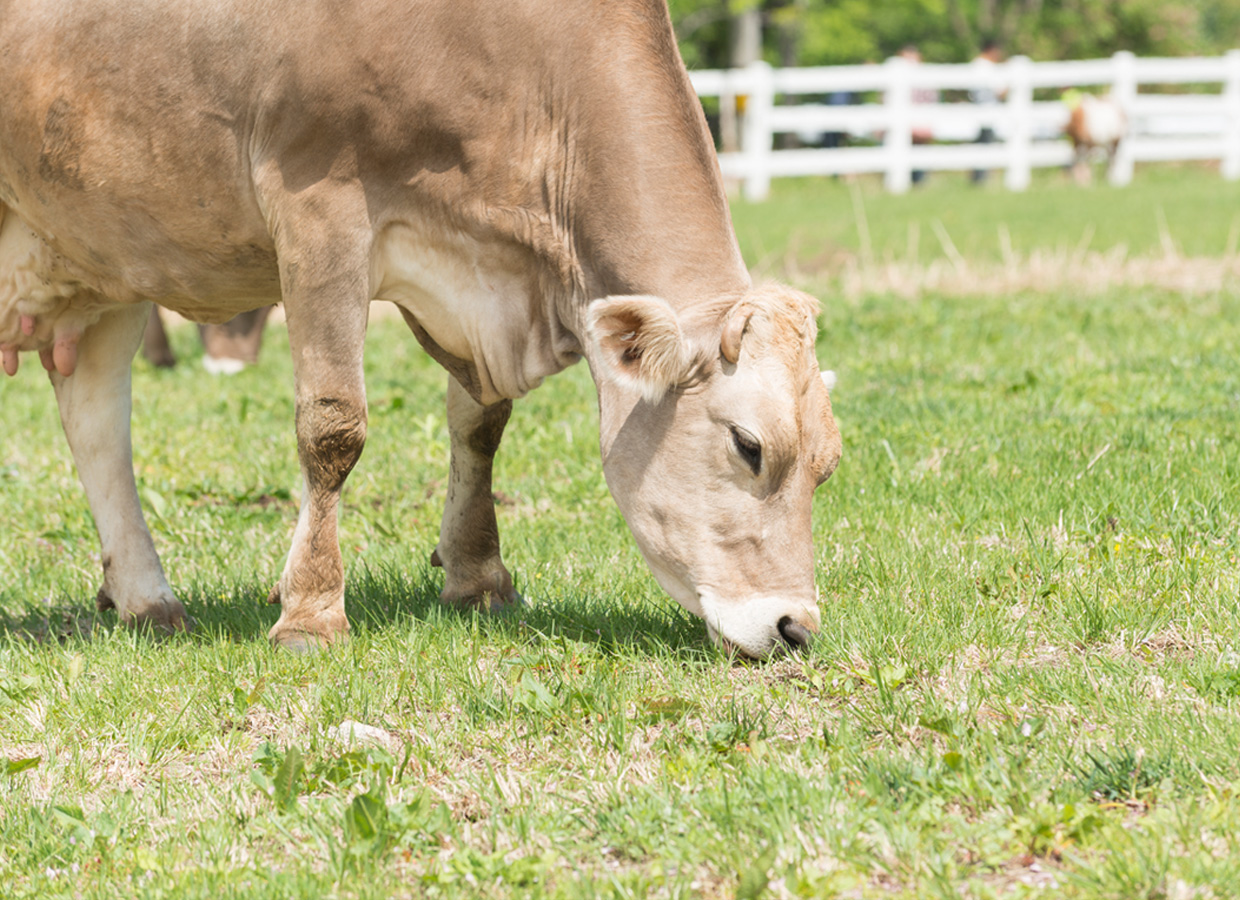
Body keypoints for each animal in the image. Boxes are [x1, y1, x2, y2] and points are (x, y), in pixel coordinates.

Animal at [0, 1, 838, 664]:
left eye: (827, 467)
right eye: (748, 445)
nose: (796, 627)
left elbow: (481, 423)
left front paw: (477, 577)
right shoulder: (320, 206)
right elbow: (333, 427)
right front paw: (310, 614)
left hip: (103, 250)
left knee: (96, 419)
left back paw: (146, 598)